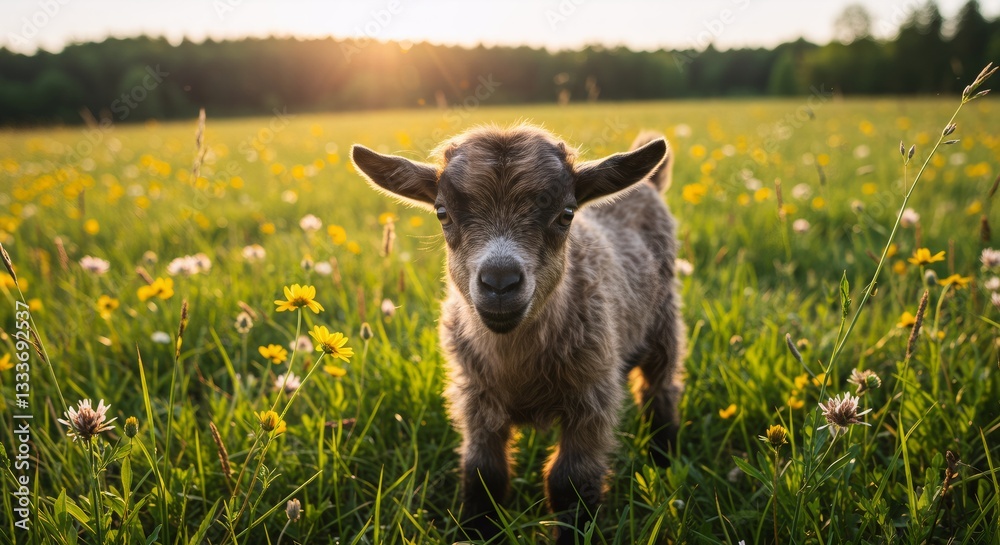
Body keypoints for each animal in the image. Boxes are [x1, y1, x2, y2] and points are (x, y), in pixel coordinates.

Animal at [351, 124, 685, 544]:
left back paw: (664, 458)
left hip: (664, 324)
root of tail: (649, 185)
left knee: (660, 389)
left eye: (566, 214)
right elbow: (485, 473)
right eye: (442, 213)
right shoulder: (475, 397)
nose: (500, 281)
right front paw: (477, 531)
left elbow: (570, 481)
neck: (519, 367)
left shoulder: (592, 396)